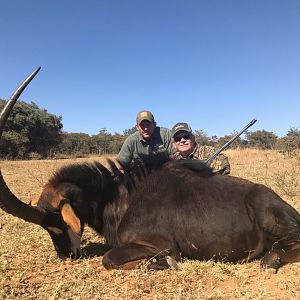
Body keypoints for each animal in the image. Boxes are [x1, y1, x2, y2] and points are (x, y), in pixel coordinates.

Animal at [0, 69, 300, 274]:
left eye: (56, 223)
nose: (65, 256)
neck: (121, 196)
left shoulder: (159, 244)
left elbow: (109, 259)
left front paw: (165, 263)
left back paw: (270, 261)